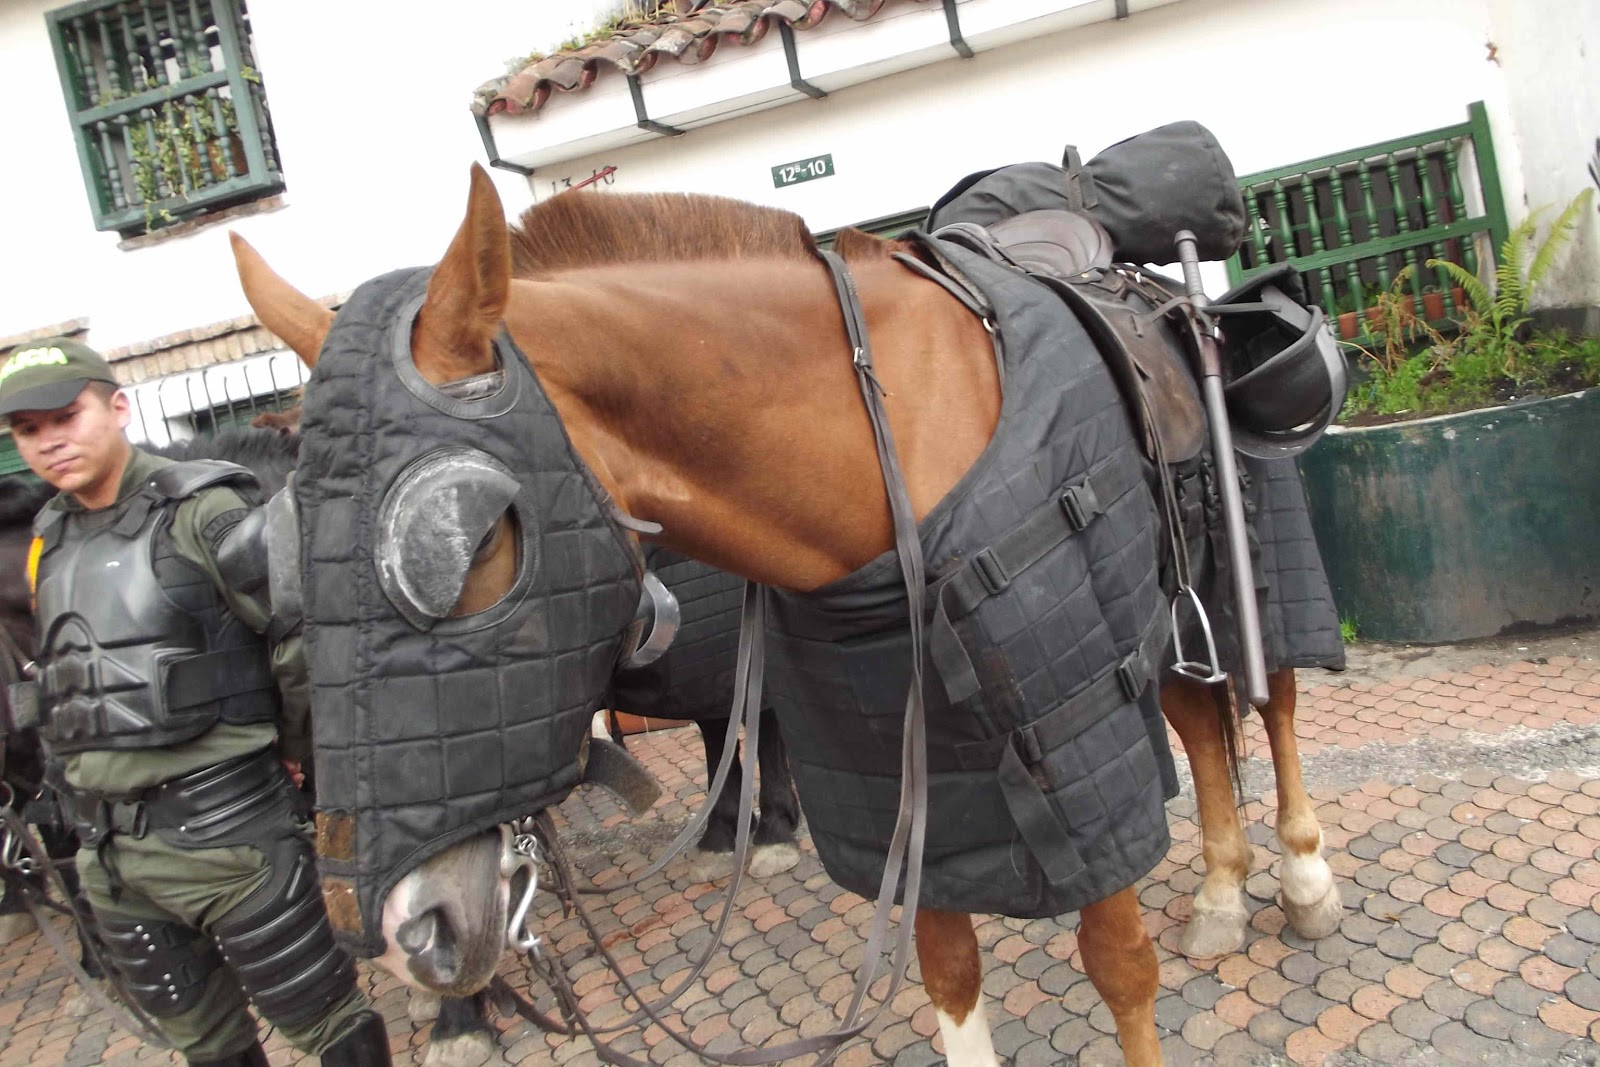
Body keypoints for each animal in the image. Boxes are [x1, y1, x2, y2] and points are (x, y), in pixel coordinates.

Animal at [231, 166, 1345, 1067]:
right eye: (283, 558)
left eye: (461, 540)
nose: (399, 925)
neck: (887, 455)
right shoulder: (918, 785)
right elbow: (949, 973)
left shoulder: (1075, 740)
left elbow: (1118, 966)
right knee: (1199, 720)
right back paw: (1219, 893)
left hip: (1242, 582)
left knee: (1277, 705)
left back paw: (1300, 877)